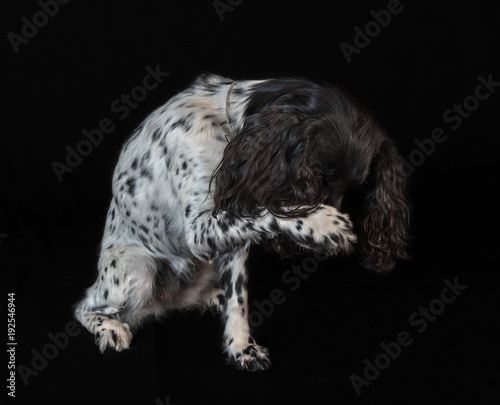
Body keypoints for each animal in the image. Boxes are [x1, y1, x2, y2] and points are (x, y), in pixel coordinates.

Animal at [74, 74, 410, 370]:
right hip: (139, 269)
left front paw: (240, 346)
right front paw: (323, 225)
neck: (226, 124)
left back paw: (213, 297)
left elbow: (239, 298)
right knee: (85, 307)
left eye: (353, 188)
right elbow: (269, 210)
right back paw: (109, 327)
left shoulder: (228, 237)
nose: (335, 214)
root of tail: (162, 303)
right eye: (317, 177)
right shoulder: (200, 230)